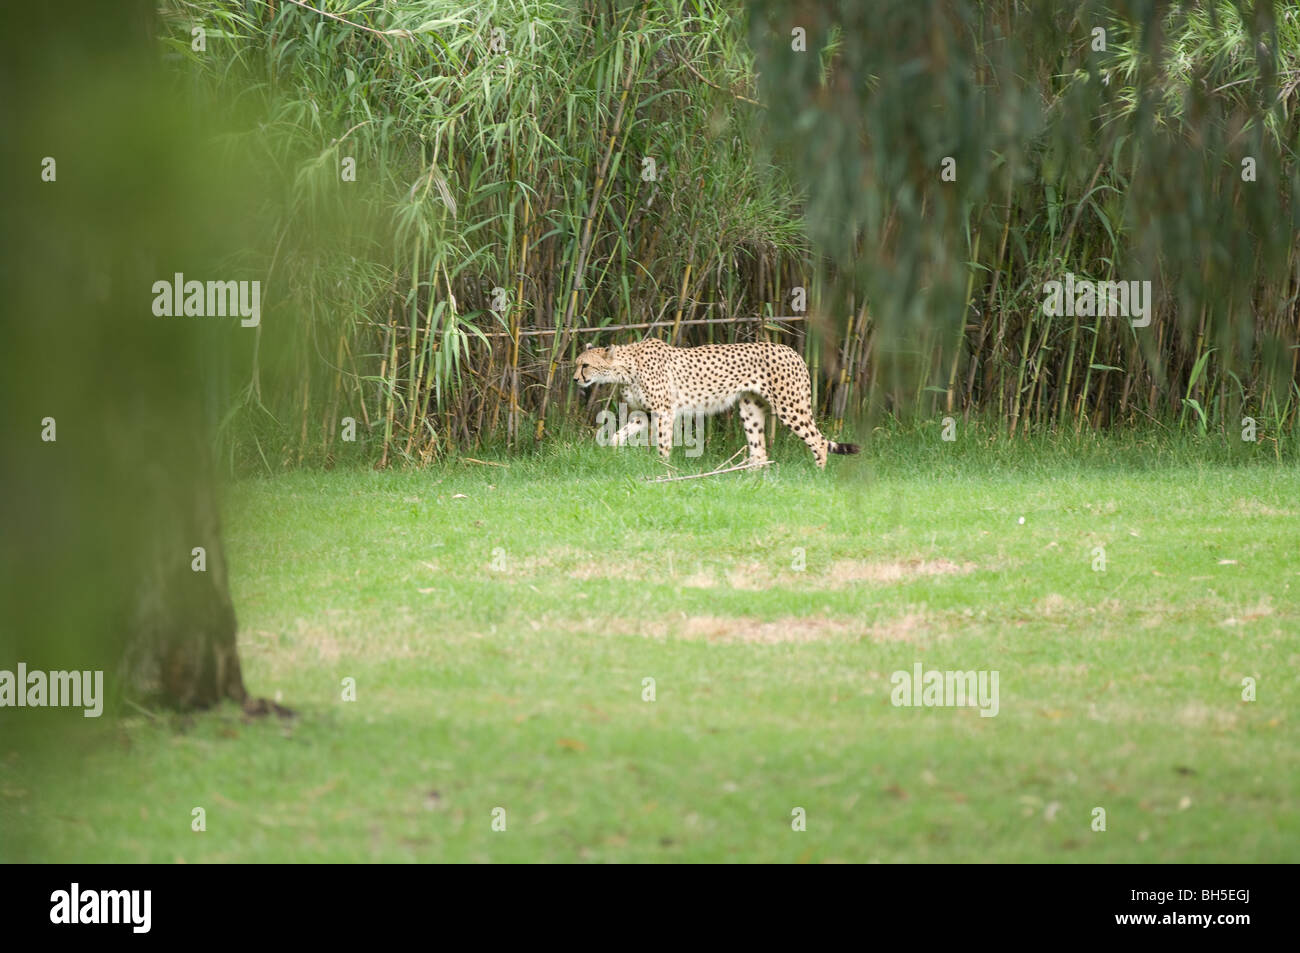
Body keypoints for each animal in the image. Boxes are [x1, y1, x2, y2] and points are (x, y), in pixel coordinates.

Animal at [572, 335, 857, 465]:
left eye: (585, 365)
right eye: (576, 364)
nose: (575, 380)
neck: (626, 368)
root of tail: (792, 350)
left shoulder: (664, 412)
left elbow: (663, 445)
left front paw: (662, 469)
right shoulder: (647, 414)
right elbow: (618, 434)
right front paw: (613, 452)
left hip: (790, 406)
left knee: (818, 441)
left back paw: (817, 475)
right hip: (750, 410)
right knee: (760, 451)